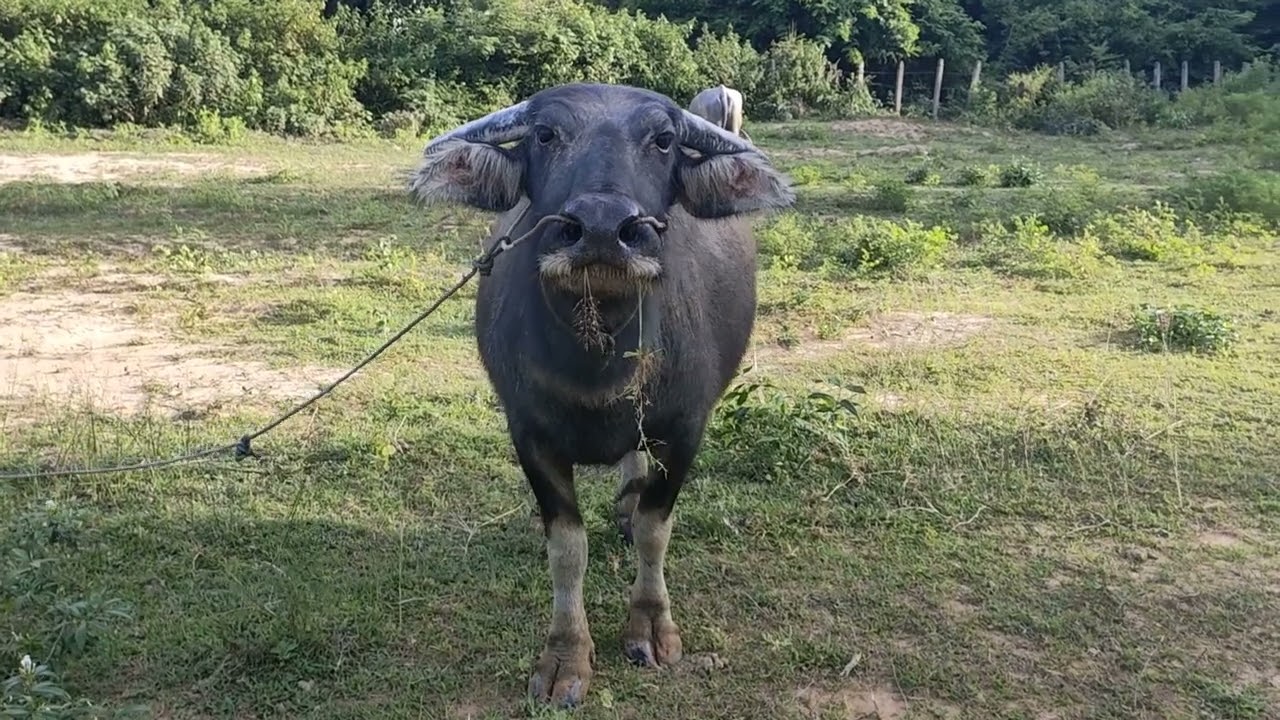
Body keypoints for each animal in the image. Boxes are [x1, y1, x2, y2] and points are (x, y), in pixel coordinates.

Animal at [409, 83, 794, 707]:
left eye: (663, 140)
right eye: (545, 134)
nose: (601, 228)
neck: (599, 357)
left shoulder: (685, 429)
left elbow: (656, 530)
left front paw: (651, 628)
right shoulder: (530, 436)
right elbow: (567, 548)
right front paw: (566, 657)